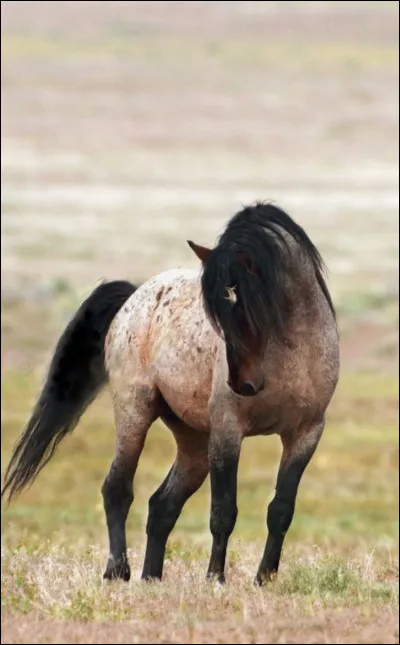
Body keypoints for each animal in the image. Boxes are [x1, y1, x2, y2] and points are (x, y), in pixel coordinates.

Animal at [1, 202, 339, 585]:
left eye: (251, 303)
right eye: (216, 313)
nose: (243, 384)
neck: (292, 350)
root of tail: (133, 298)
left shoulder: (305, 433)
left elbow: (280, 510)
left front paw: (264, 579)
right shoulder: (228, 430)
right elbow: (223, 510)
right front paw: (215, 579)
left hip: (194, 443)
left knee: (162, 504)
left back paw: (152, 577)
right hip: (135, 412)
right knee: (117, 489)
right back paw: (118, 571)